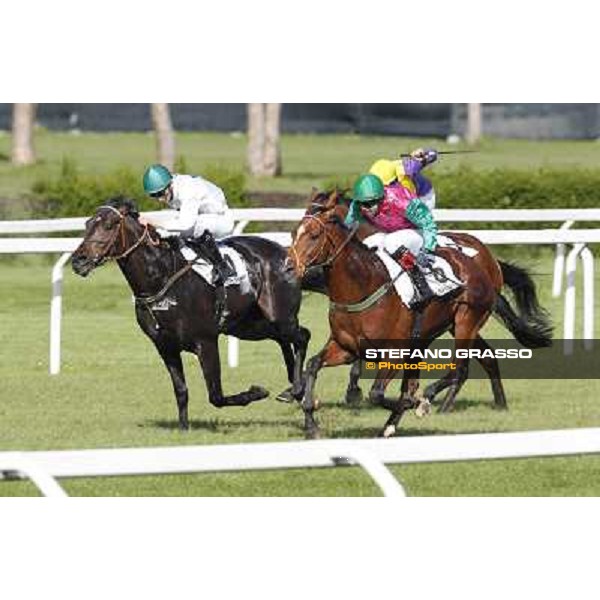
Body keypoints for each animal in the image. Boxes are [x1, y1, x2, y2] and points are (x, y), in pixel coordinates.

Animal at [71, 199, 310, 428]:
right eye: (87, 224)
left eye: (110, 225)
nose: (78, 261)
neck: (161, 278)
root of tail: (285, 252)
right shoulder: (165, 347)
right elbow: (181, 391)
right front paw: (184, 429)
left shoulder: (206, 341)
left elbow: (216, 396)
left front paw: (257, 392)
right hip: (249, 326)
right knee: (284, 339)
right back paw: (292, 388)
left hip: (279, 317)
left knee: (302, 336)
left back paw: (298, 387)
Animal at [288, 195, 552, 438]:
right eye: (293, 234)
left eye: (314, 235)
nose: (288, 266)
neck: (363, 286)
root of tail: (485, 261)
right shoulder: (346, 347)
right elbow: (313, 365)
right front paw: (310, 419)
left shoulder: (394, 354)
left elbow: (379, 393)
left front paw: (411, 403)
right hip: (437, 332)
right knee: (482, 359)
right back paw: (496, 403)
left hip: (467, 321)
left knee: (459, 368)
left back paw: (431, 398)